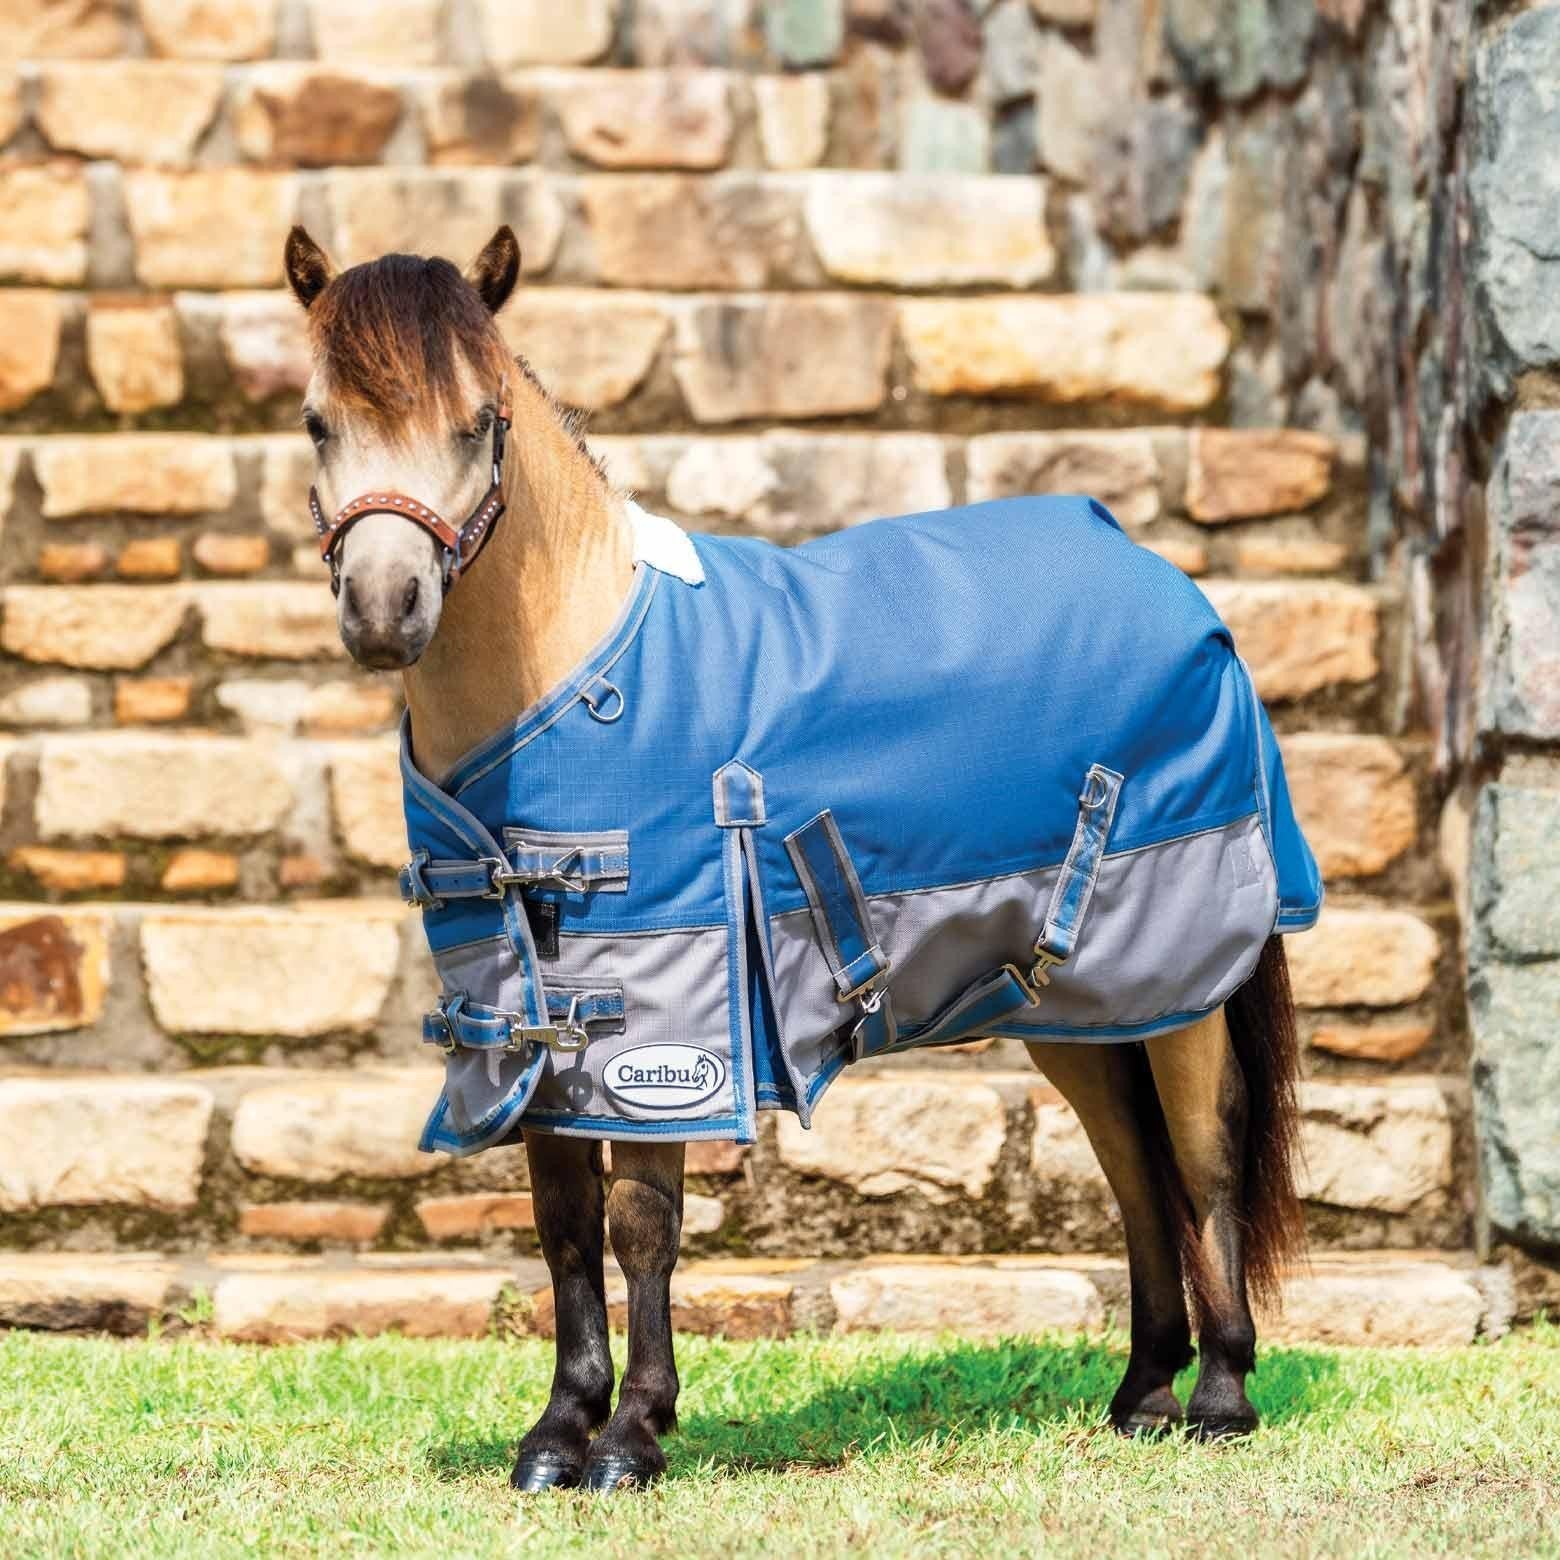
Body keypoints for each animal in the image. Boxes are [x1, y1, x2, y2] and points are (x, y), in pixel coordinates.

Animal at [283, 223, 1313, 1492]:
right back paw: (1142, 1392)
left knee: (1204, 1147)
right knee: (1130, 1160)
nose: (387, 609)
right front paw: (559, 1433)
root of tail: (1171, 588)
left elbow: (642, 1225)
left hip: (1182, 975)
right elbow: (564, 1224)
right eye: (317, 421)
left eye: (481, 420)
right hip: (1077, 1005)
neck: (576, 668)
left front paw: (631, 1438)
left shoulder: (672, 1002)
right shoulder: (527, 1009)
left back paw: (1218, 1396)